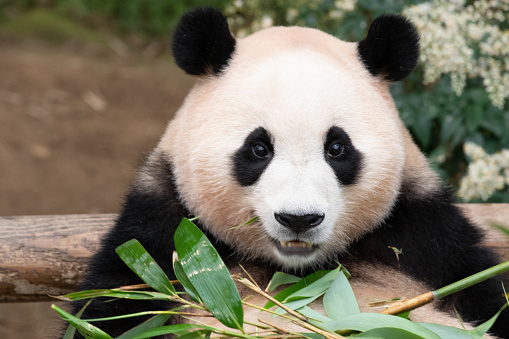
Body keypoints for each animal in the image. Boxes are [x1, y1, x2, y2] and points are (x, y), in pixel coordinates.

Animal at [71, 7, 508, 339]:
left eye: (337, 148)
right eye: (259, 149)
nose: (299, 219)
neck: (298, 272)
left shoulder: (427, 242)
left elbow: (486, 294)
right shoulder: (161, 236)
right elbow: (115, 310)